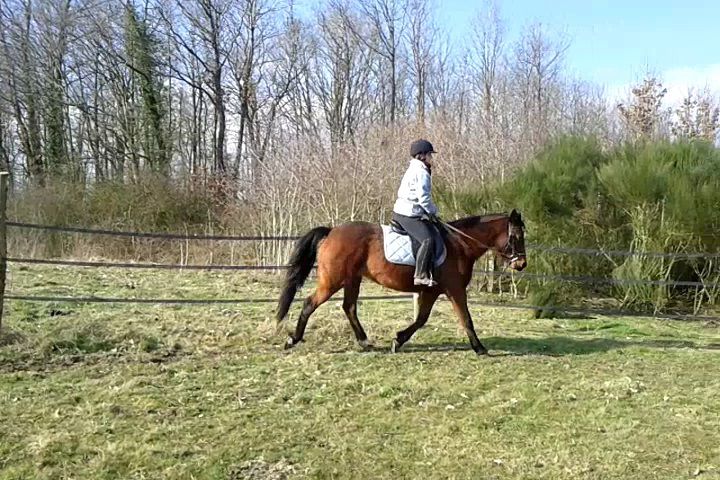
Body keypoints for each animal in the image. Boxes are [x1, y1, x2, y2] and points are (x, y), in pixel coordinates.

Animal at [276, 209, 527, 355]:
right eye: (516, 236)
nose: (522, 264)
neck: (459, 244)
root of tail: (331, 231)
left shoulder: (433, 291)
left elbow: (421, 319)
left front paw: (398, 340)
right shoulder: (455, 290)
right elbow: (466, 319)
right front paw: (480, 348)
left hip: (352, 279)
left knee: (349, 307)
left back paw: (365, 342)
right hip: (332, 281)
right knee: (310, 303)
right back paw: (292, 340)